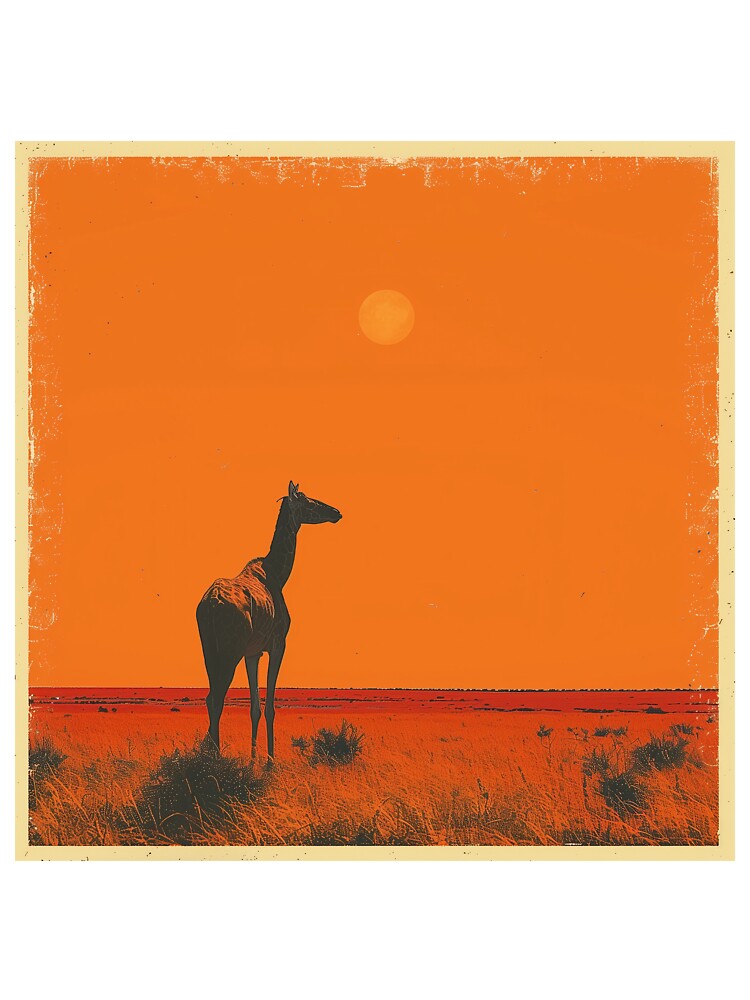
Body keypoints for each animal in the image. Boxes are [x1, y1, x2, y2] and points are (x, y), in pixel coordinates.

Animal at [196, 481, 342, 761]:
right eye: (308, 501)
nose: (336, 512)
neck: (279, 573)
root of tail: (210, 605)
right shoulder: (278, 644)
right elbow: (271, 706)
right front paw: (270, 760)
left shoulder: (252, 653)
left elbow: (255, 707)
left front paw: (253, 758)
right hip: (228, 651)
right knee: (217, 697)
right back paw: (214, 758)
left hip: (209, 649)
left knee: (210, 697)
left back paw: (208, 755)